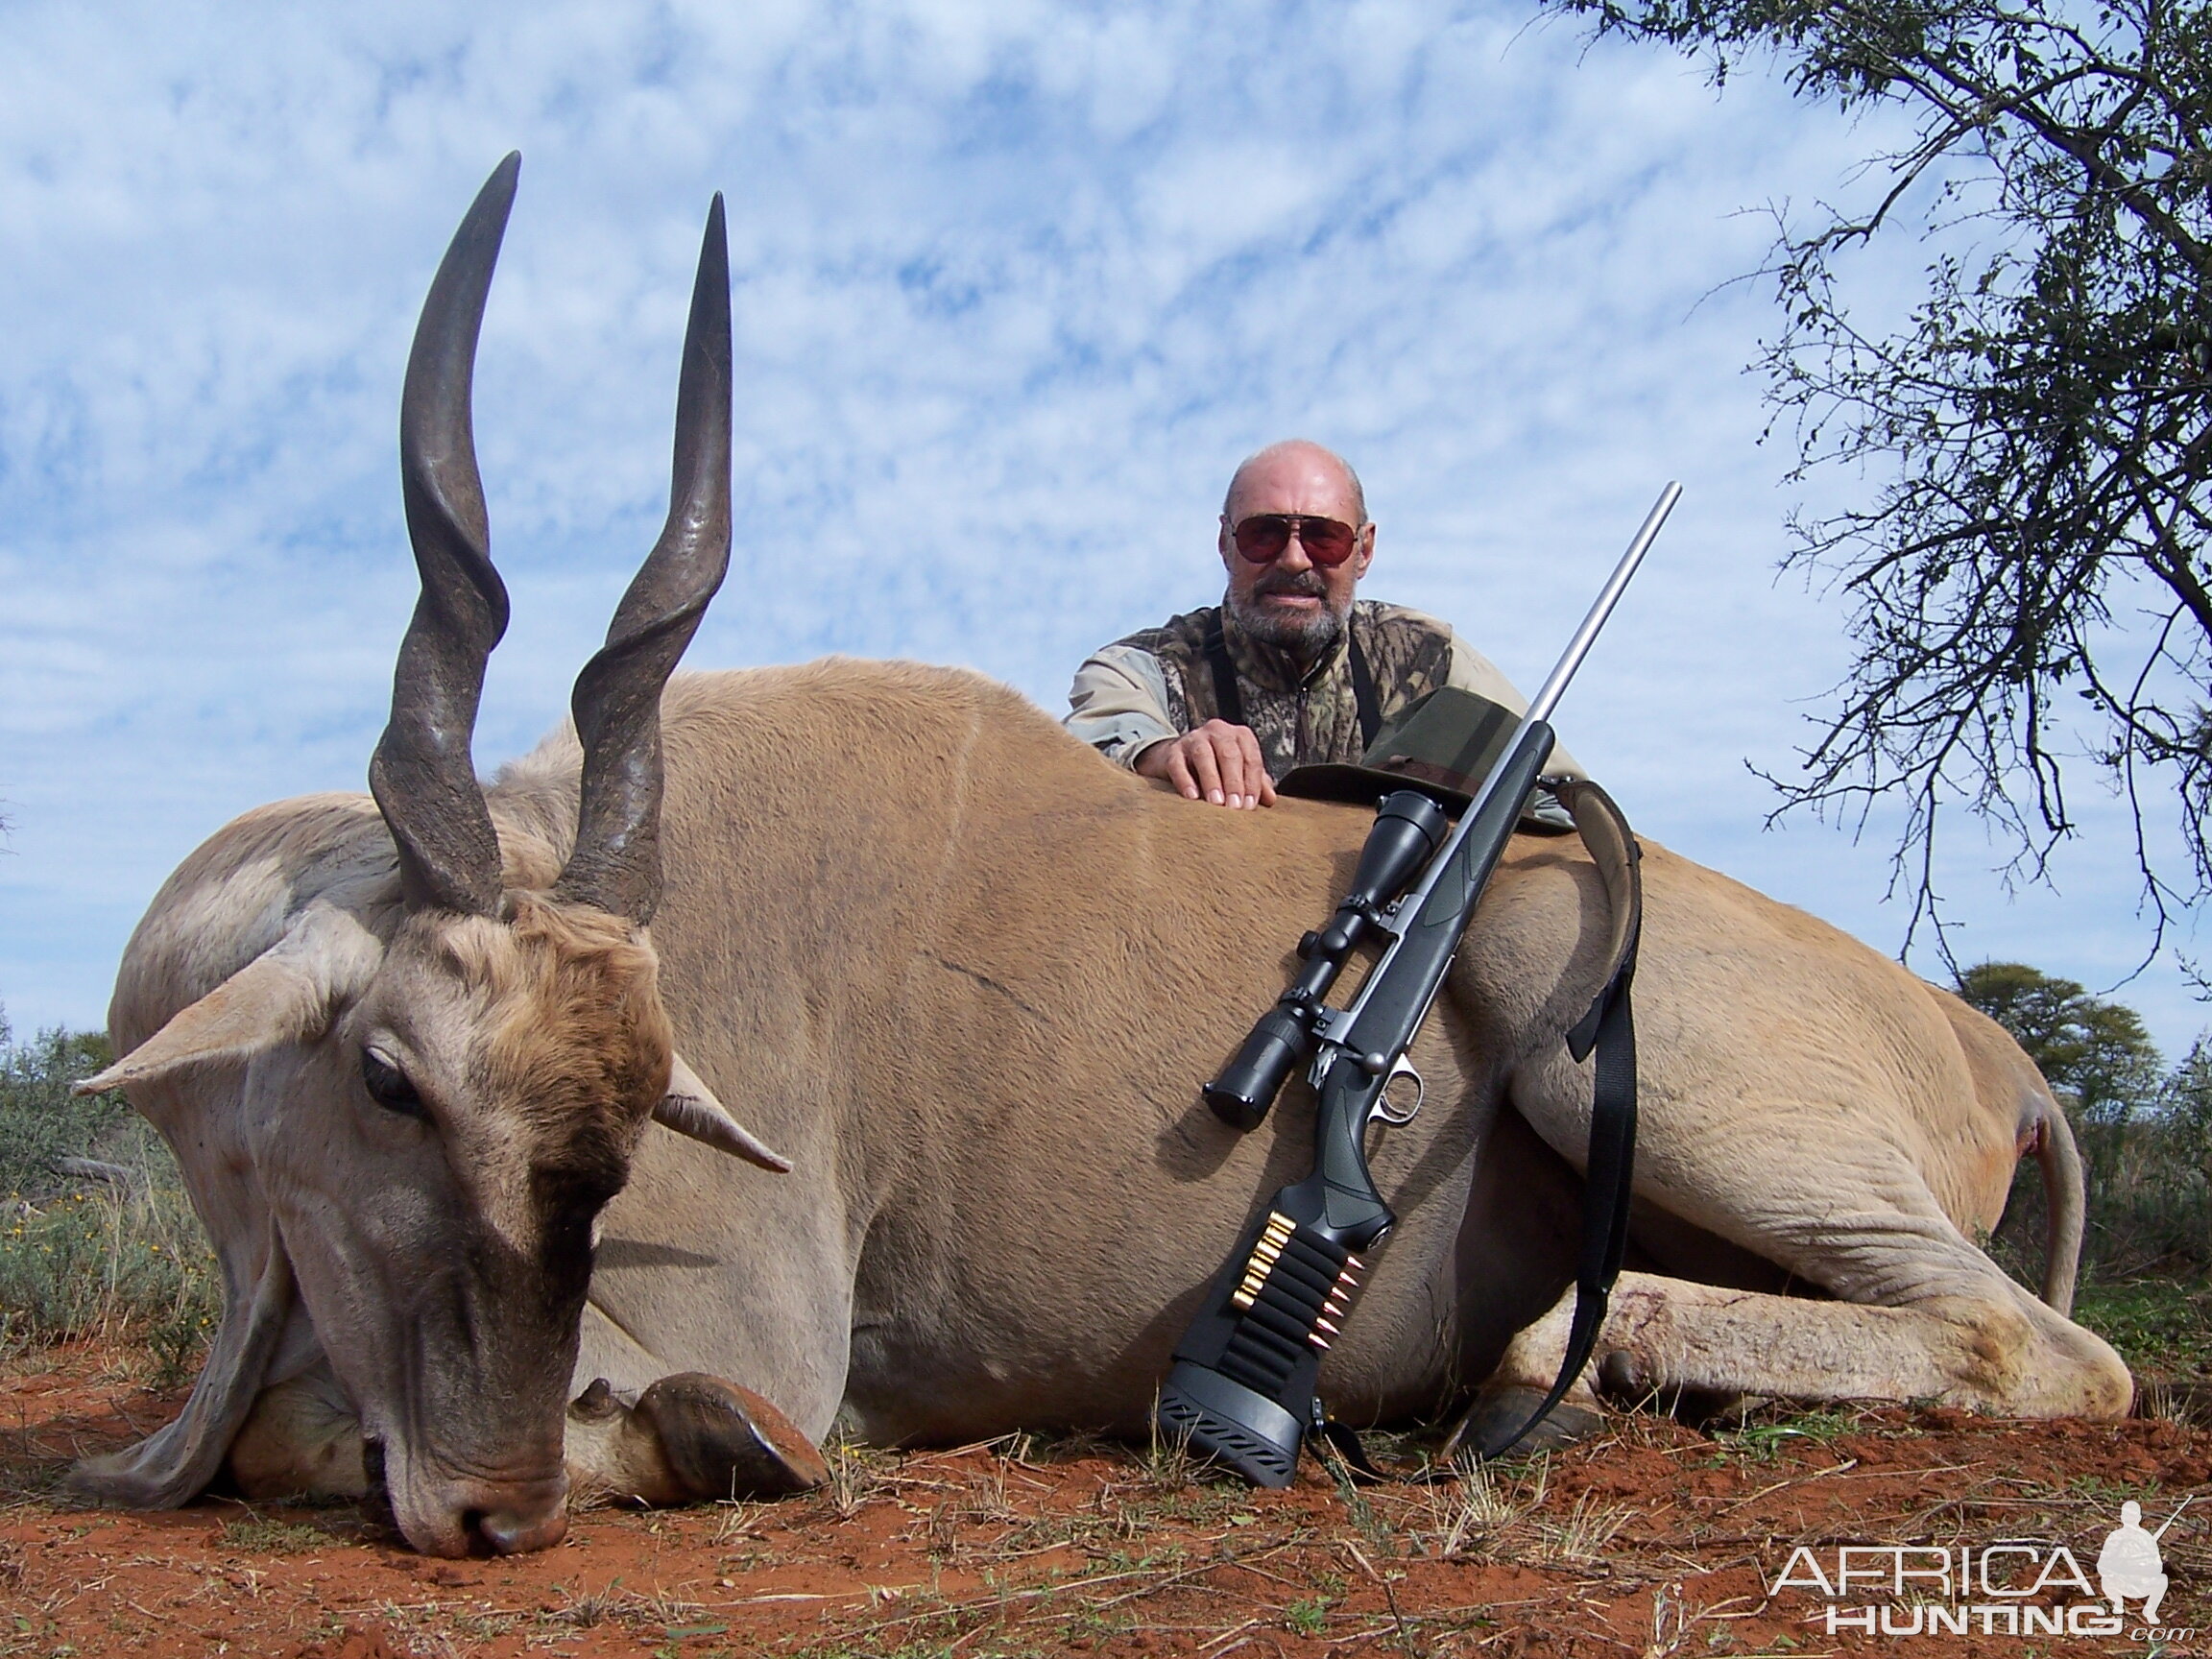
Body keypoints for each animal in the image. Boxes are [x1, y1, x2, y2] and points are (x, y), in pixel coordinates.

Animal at [78, 156, 2132, 1557]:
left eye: (636, 1109)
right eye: (384, 1078)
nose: (493, 1506)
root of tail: (1991, 1049)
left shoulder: (742, 1318)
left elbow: (356, 1428)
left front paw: (714, 1445)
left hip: (1632, 1059)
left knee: (2046, 1349)